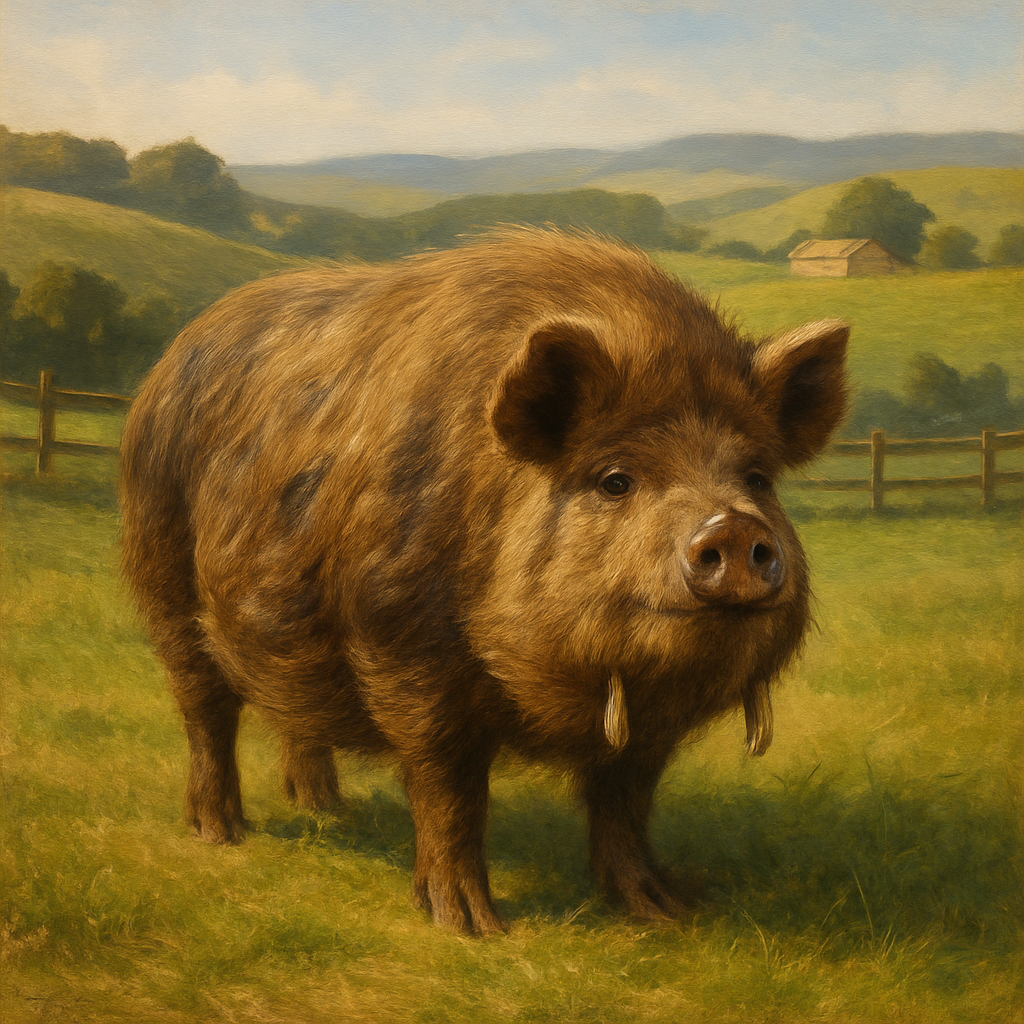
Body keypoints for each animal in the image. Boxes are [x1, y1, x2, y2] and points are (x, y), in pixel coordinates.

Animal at [120, 228, 848, 935]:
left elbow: (624, 799)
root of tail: (166, 364)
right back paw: (221, 834)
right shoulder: (400, 642)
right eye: (615, 480)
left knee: (292, 709)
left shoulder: (646, 728)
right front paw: (473, 927)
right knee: (204, 709)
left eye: (757, 477)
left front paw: (664, 911)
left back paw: (328, 811)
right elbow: (451, 784)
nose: (732, 524)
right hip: (162, 575)